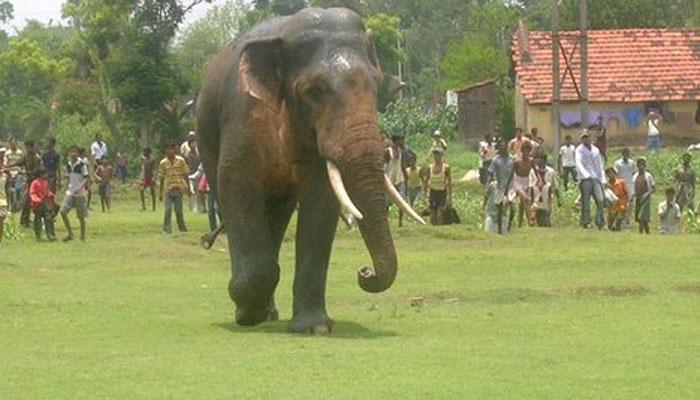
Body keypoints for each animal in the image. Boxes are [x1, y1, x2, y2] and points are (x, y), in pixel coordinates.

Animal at [194, 7, 424, 332]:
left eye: (376, 85)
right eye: (314, 91)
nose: (364, 272)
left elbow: (321, 201)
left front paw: (314, 328)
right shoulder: (242, 115)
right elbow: (236, 186)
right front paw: (245, 313)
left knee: (277, 214)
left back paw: (269, 312)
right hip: (206, 137)